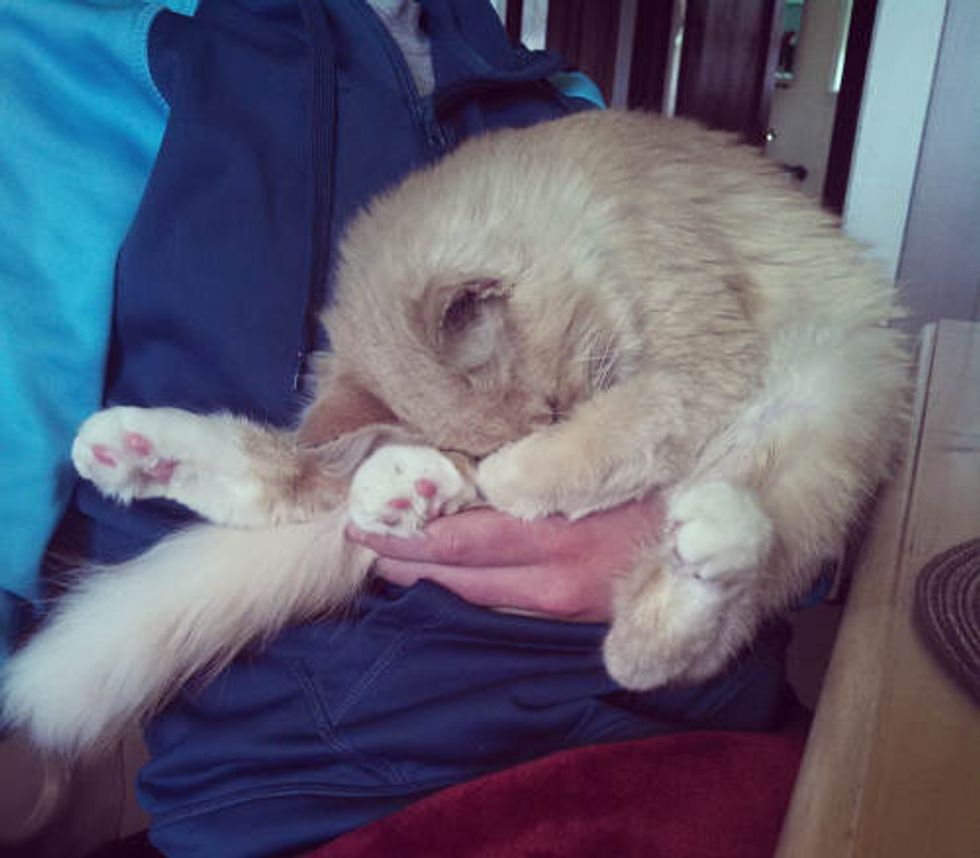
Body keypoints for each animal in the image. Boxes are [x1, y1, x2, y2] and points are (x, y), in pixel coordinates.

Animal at [2, 110, 911, 754]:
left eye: (557, 400)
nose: (492, 453)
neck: (601, 200)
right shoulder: (682, 370)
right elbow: (595, 442)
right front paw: (501, 473)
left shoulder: (700, 363)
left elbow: (613, 433)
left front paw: (518, 473)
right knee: (295, 478)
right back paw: (149, 453)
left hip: (813, 419)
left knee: (662, 639)